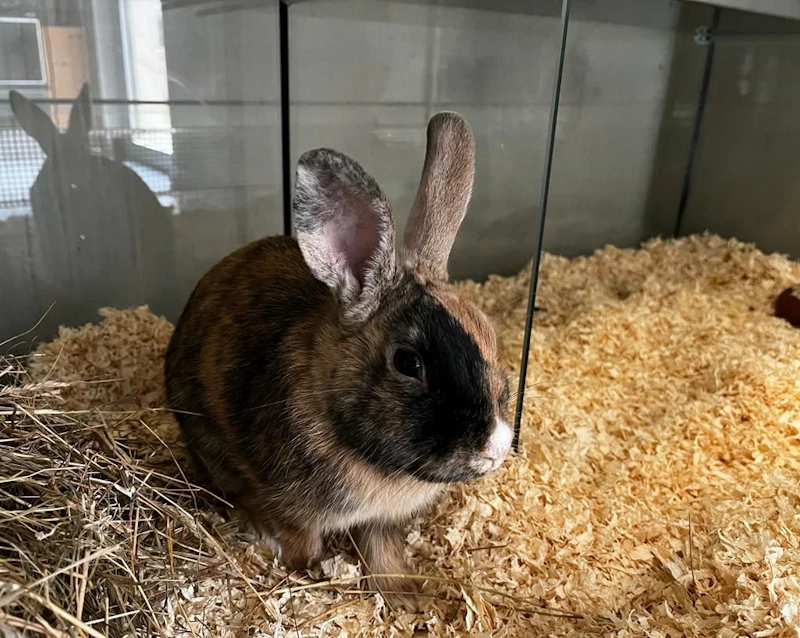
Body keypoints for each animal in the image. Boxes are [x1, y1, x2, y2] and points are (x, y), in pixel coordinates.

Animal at [164, 112, 513, 610]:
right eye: (408, 363)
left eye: (488, 332)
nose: (496, 446)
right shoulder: (290, 507)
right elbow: (302, 543)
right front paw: (304, 572)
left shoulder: (384, 521)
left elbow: (383, 552)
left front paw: (407, 598)